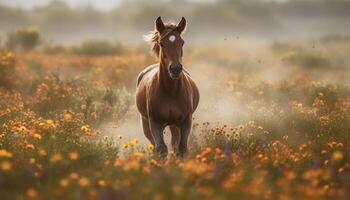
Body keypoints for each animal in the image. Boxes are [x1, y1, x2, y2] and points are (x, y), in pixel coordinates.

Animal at [135, 16, 198, 156]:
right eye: (162, 43)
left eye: (182, 42)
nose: (175, 69)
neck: (171, 91)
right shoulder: (155, 123)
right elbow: (161, 148)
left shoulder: (186, 121)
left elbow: (182, 148)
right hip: (146, 123)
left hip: (174, 124)